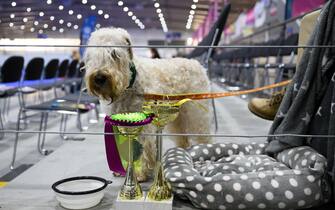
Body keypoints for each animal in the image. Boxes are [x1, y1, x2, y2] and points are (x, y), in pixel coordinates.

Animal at [84, 27, 211, 180]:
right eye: (92, 55)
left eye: (114, 54)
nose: (99, 77)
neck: (130, 85)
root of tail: (197, 64)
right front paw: (123, 169)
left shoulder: (144, 124)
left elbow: (146, 146)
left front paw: (140, 173)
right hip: (177, 117)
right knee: (182, 138)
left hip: (195, 113)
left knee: (203, 134)